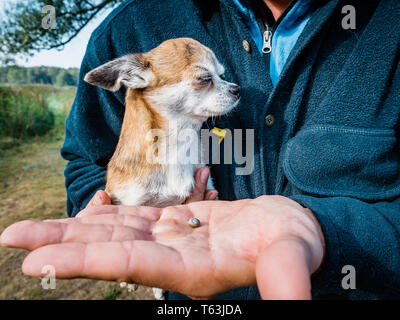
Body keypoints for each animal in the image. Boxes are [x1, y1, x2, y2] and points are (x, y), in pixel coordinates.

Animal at [84, 38, 241, 300]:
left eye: (222, 75)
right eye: (204, 78)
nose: (237, 89)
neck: (178, 145)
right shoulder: (132, 204)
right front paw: (128, 279)